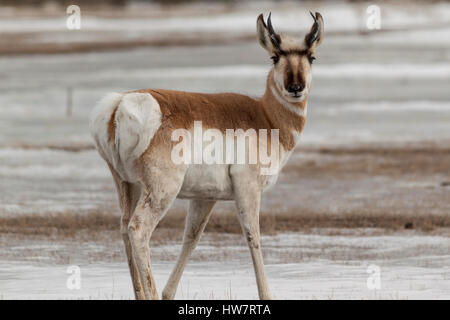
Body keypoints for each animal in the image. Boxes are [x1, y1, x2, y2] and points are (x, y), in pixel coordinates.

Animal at [90, 10, 324, 300]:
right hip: (161, 190)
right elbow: (253, 237)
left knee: (124, 228)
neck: (265, 117)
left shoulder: (205, 197)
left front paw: (169, 293)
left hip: (127, 184)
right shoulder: (248, 188)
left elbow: (191, 238)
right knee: (138, 229)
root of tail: (119, 105)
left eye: (311, 56)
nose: (296, 87)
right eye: (275, 57)